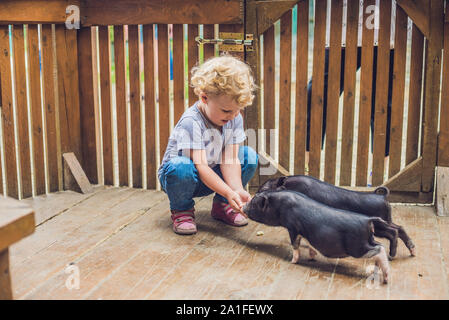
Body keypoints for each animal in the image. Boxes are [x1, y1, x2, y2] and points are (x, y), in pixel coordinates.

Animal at [242, 190, 388, 282]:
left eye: (254, 203)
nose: (243, 206)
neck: (279, 205)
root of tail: (368, 220)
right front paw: (311, 257)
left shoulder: (293, 227)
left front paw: (293, 261)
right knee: (379, 247)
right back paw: (377, 273)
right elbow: (309, 244)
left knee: (380, 249)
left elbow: (295, 244)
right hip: (368, 241)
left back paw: (385, 278)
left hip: (357, 247)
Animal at [258, 175, 414, 258]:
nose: (256, 195)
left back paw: (392, 256)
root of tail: (382, 197)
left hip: (380, 225)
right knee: (399, 228)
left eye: (265, 189)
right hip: (386, 220)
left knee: (393, 232)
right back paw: (412, 251)